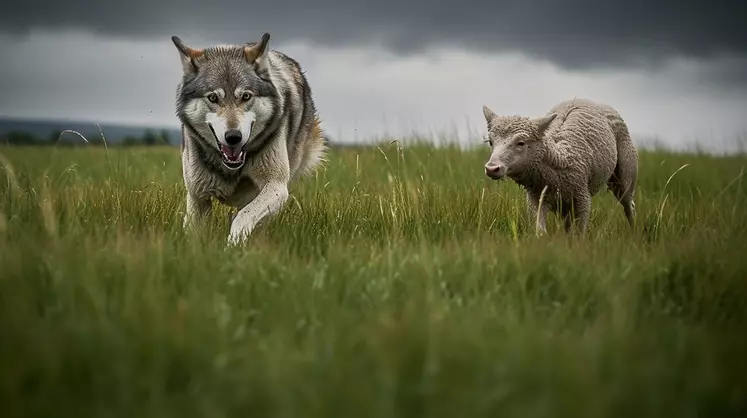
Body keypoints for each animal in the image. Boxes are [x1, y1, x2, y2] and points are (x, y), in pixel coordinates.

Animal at [174, 34, 328, 247]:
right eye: (213, 98)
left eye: (246, 96)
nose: (233, 137)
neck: (231, 169)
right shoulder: (197, 196)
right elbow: (193, 233)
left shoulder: (276, 186)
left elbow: (244, 216)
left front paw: (233, 245)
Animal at [482, 98, 640, 235]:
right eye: (490, 142)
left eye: (521, 143)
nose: (491, 168)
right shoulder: (536, 199)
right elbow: (540, 231)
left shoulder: (583, 199)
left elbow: (580, 234)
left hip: (625, 174)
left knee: (629, 206)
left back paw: (634, 234)